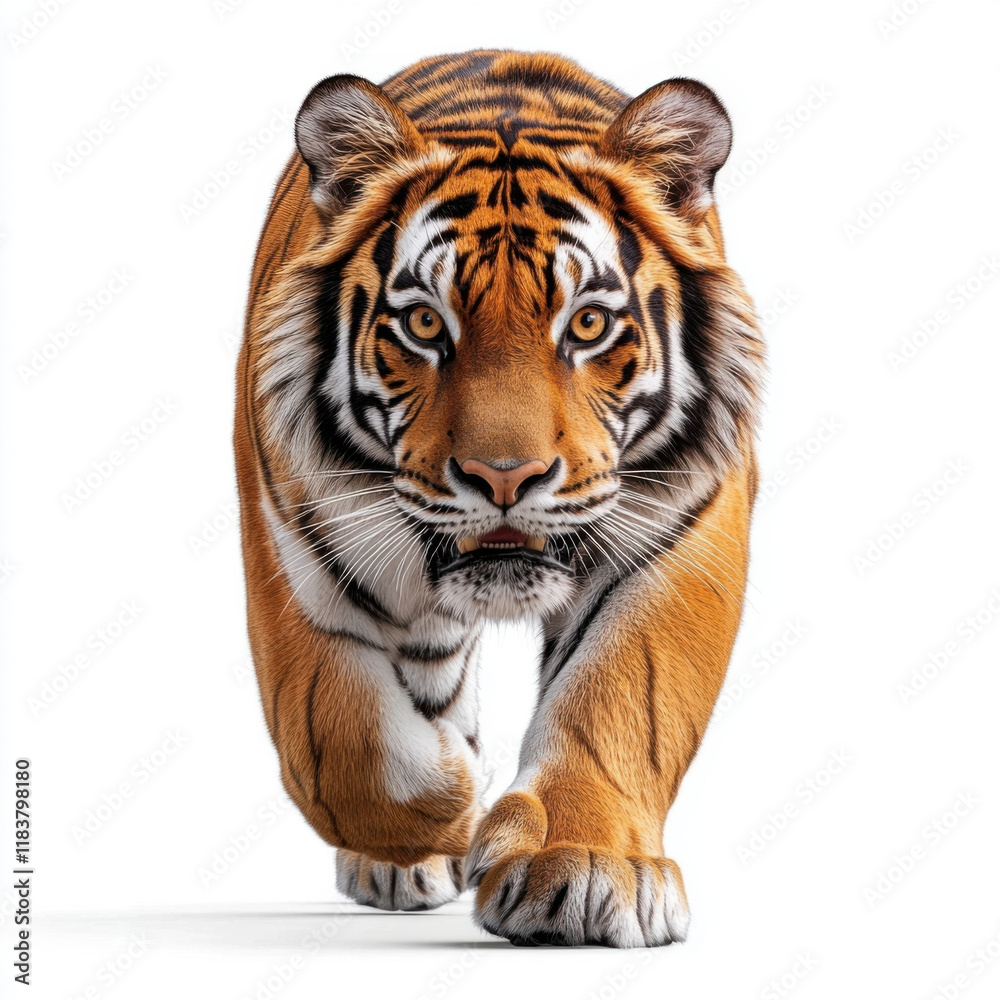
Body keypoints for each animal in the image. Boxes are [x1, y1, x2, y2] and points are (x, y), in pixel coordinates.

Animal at [234, 49, 764, 948]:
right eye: (423, 324)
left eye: (586, 326)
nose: (505, 476)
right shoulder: (289, 546)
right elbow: (340, 739)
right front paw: (455, 804)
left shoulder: (683, 531)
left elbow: (618, 696)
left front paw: (582, 868)